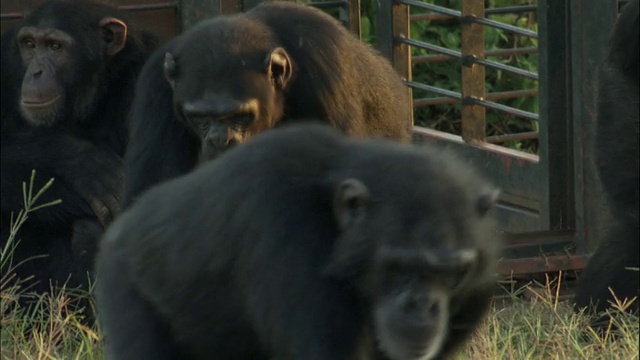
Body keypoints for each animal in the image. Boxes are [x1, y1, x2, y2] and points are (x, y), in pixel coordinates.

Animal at [124, 0, 412, 205]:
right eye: (199, 118)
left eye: (241, 116)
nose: (220, 139)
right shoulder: (155, 87)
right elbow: (154, 183)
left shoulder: (327, 69)